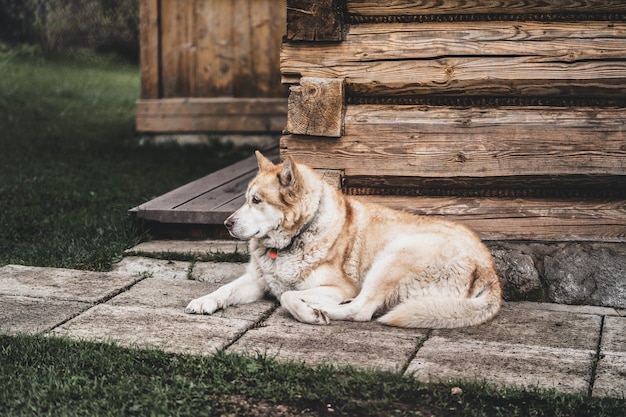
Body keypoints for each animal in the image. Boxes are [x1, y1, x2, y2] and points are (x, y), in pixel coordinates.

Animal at [183, 151, 500, 326]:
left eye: (257, 200)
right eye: (246, 199)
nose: (226, 223)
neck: (296, 236)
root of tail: (491, 272)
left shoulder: (338, 286)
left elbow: (287, 295)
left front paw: (309, 310)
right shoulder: (258, 281)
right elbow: (225, 289)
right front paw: (204, 301)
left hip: (393, 258)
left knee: (361, 309)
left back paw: (320, 311)